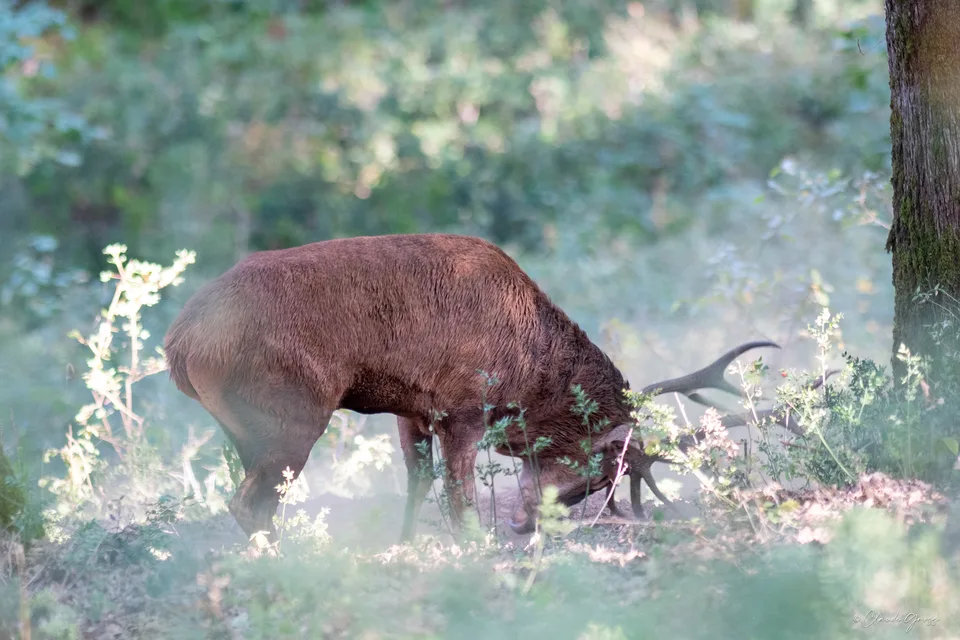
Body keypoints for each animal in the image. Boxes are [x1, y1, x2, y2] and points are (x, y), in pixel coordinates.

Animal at [163, 233, 781, 543]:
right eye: (601, 473)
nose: (526, 524)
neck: (526, 371)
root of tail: (179, 342)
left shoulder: (410, 409)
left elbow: (417, 482)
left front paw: (407, 543)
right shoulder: (462, 406)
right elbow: (458, 494)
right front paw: (472, 547)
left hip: (249, 429)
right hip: (288, 417)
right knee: (250, 504)